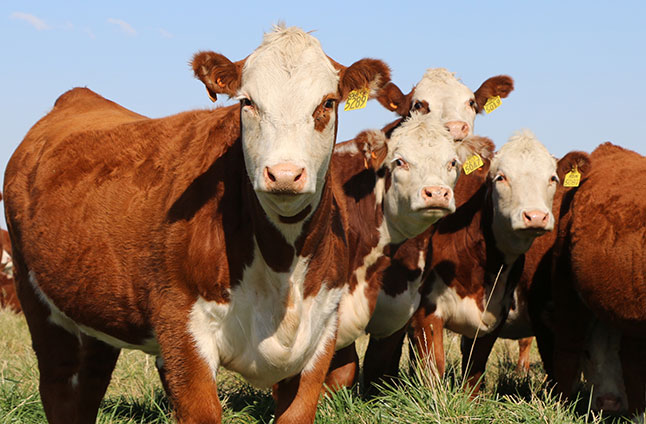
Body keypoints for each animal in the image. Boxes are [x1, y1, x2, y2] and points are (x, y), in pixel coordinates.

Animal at [3, 25, 392, 424]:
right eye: (247, 102)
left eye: (327, 103)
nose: (284, 174)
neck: (282, 267)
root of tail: (77, 98)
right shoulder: (182, 333)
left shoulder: (320, 335)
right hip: (38, 300)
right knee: (61, 385)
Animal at [361, 130, 565, 391]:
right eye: (501, 178)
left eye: (552, 178)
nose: (536, 216)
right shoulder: (425, 312)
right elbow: (433, 368)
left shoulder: (494, 316)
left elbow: (474, 372)